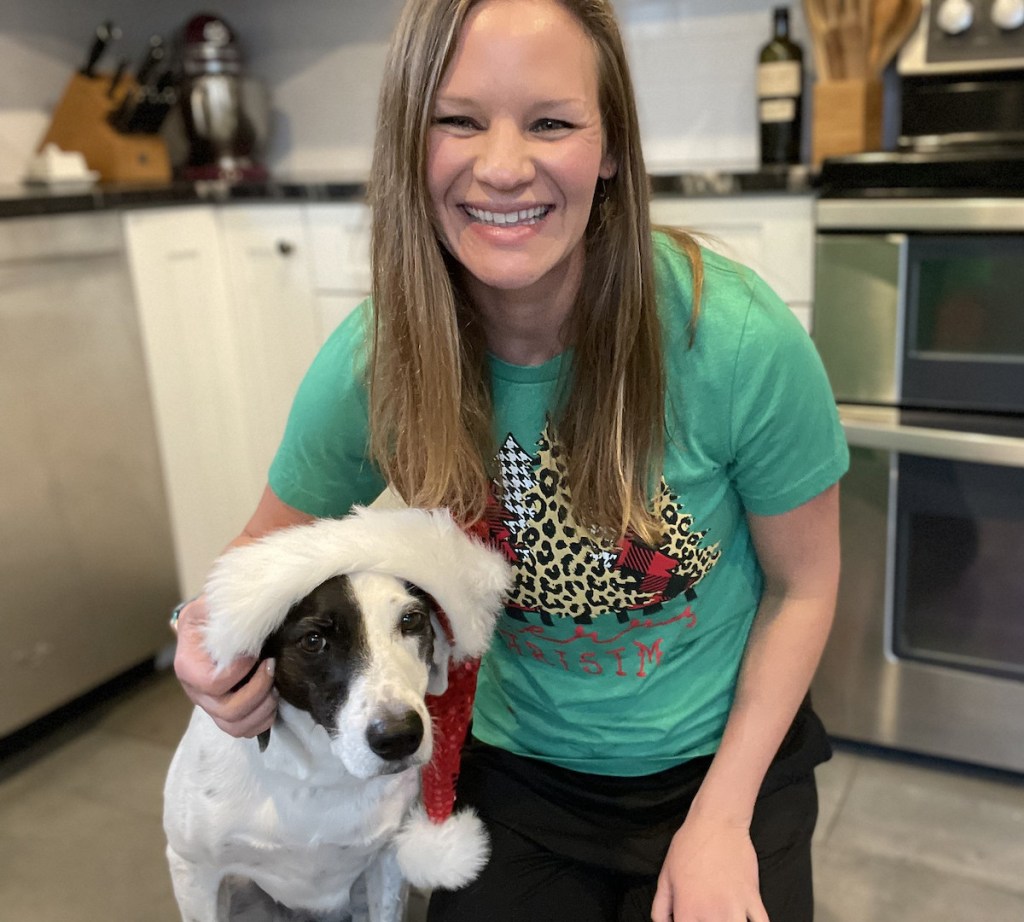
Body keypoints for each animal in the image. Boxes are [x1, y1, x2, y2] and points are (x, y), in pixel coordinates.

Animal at [163, 508, 512, 917]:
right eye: (314, 641)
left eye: (411, 620)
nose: (399, 738)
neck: (320, 773)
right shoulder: (192, 870)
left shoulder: (388, 863)